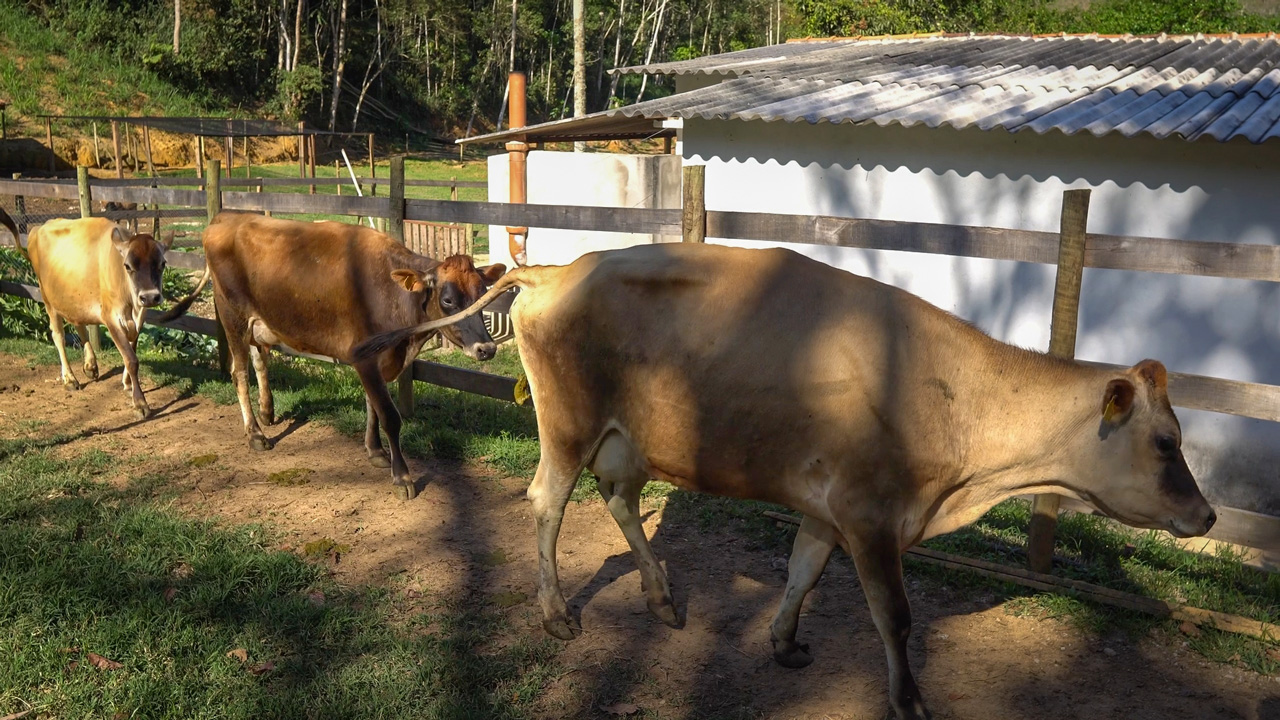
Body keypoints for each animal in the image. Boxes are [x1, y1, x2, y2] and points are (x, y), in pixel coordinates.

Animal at [6, 207, 171, 417]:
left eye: (162, 263)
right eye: (127, 266)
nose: (150, 297)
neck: (132, 303)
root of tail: (38, 228)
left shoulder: (139, 318)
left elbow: (132, 349)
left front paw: (127, 383)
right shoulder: (112, 318)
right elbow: (131, 359)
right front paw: (140, 403)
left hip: (73, 298)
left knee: (80, 325)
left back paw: (90, 365)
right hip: (48, 298)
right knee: (58, 336)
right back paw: (69, 379)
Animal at [165, 210, 509, 497]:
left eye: (482, 294)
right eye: (448, 300)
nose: (486, 348)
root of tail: (226, 217)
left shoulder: (378, 359)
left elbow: (372, 407)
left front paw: (375, 452)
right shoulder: (364, 356)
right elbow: (389, 415)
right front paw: (402, 477)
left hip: (257, 320)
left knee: (259, 360)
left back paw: (267, 411)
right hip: (231, 314)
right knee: (238, 372)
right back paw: (255, 434)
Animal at [355, 242, 1213, 717]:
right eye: (1166, 441)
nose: (1205, 517)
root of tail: (558, 267)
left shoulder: (828, 508)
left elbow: (803, 572)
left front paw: (784, 640)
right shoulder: (871, 515)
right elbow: (894, 618)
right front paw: (908, 699)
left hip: (629, 440)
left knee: (622, 505)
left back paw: (661, 597)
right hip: (568, 426)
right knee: (546, 505)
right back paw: (558, 614)